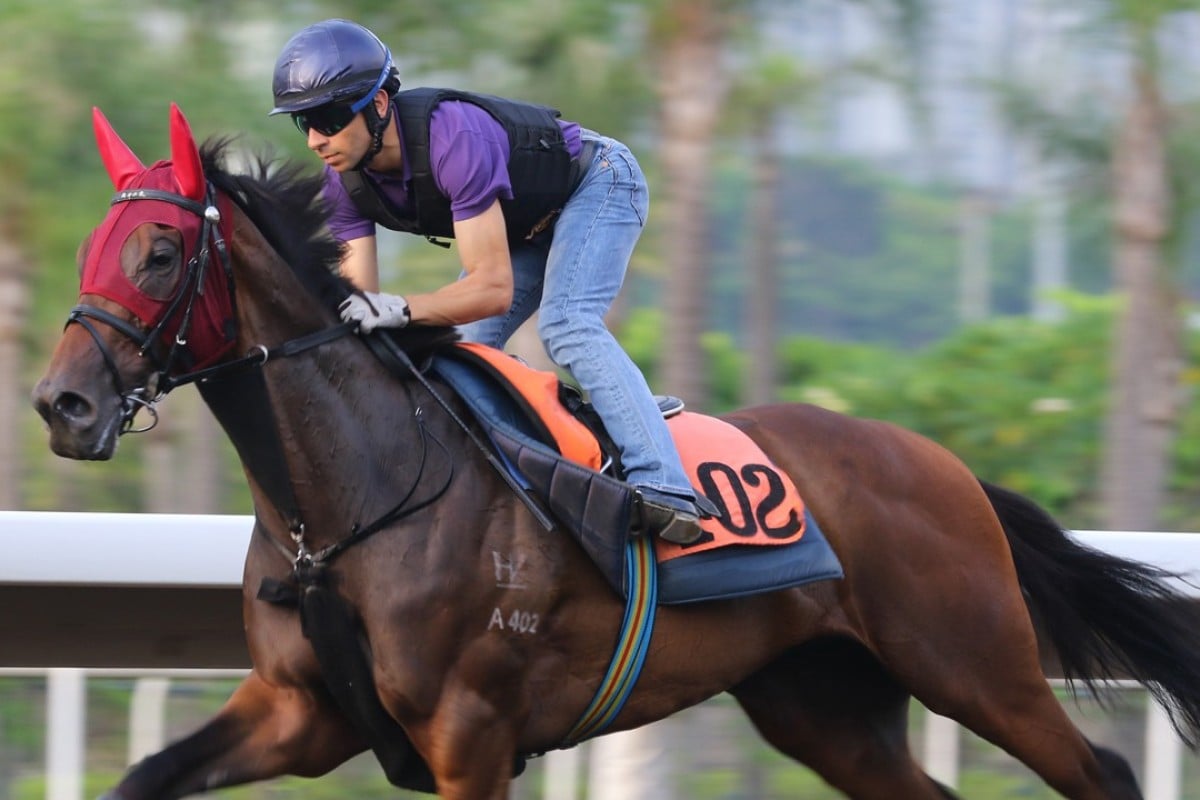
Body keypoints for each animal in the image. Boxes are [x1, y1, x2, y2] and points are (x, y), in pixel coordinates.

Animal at [32, 106, 1200, 800]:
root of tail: (945, 465)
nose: (60, 402)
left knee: (1099, 771)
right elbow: (141, 774)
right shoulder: (299, 712)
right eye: (93, 244)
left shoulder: (471, 734)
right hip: (820, 700)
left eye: (161, 250)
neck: (350, 500)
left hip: (973, 662)